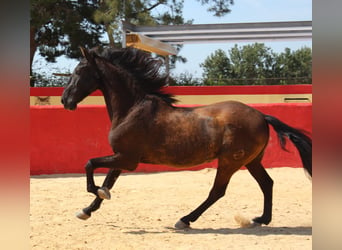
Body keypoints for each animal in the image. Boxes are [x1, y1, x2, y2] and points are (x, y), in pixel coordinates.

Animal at [60, 46, 312, 229]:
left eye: (78, 71)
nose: (65, 100)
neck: (132, 109)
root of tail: (261, 115)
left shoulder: (127, 159)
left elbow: (90, 165)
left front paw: (95, 193)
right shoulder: (122, 157)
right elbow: (107, 180)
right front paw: (86, 210)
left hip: (230, 161)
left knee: (218, 191)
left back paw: (185, 220)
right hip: (251, 161)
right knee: (267, 183)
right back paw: (261, 219)